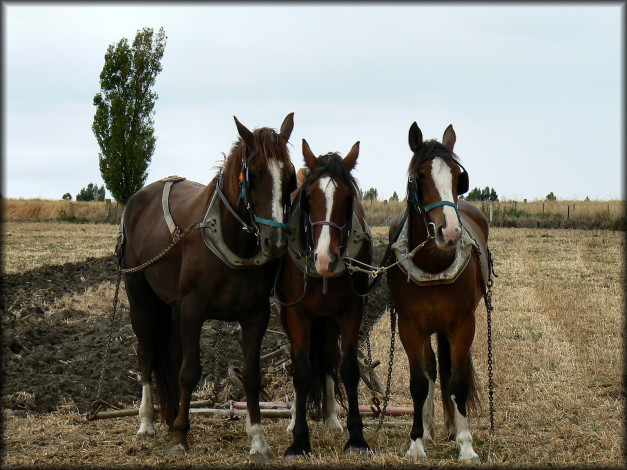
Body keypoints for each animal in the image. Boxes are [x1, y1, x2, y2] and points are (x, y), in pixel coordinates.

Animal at [119, 113, 296, 458]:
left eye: (290, 177)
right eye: (254, 174)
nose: (277, 243)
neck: (232, 240)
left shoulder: (255, 315)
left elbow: (251, 375)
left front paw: (258, 439)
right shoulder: (192, 309)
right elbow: (189, 372)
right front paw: (179, 437)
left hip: (170, 306)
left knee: (170, 355)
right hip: (140, 294)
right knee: (146, 352)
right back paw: (146, 422)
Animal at [274, 140, 372, 458]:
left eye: (348, 199)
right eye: (308, 198)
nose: (324, 259)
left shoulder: (352, 310)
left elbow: (349, 370)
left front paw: (356, 437)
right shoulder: (297, 314)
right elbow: (302, 372)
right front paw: (299, 439)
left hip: (328, 319)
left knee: (328, 357)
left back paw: (330, 417)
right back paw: (295, 418)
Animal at [390, 122, 494, 462]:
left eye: (458, 176)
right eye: (420, 176)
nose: (449, 231)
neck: (434, 264)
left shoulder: (462, 324)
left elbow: (458, 381)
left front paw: (465, 444)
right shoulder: (410, 327)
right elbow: (419, 382)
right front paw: (416, 442)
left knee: (446, 370)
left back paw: (450, 426)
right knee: (432, 369)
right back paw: (428, 427)